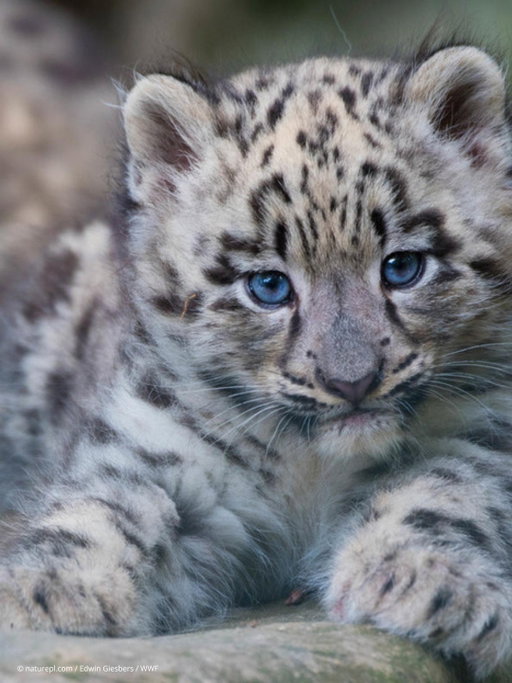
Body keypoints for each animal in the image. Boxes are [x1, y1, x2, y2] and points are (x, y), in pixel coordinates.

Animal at [1, 32, 512, 679]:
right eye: (268, 285)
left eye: (402, 266)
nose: (351, 381)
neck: (312, 469)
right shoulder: (156, 445)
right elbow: (104, 506)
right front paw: (45, 588)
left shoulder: (478, 432)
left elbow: (440, 492)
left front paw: (428, 585)